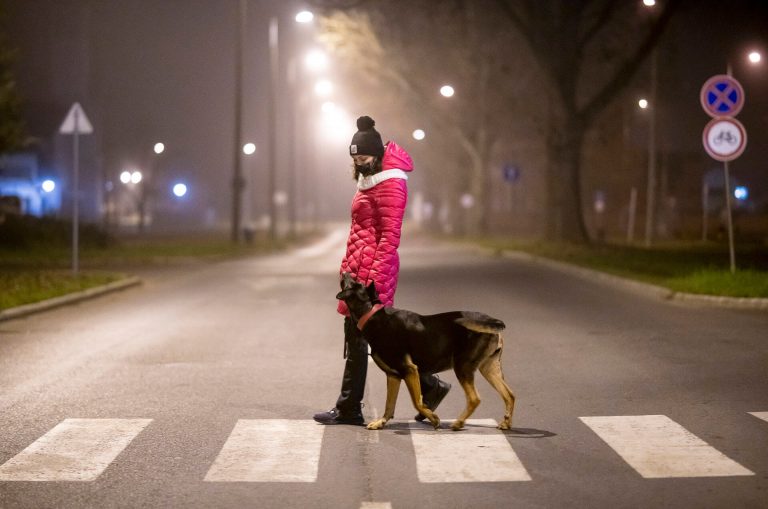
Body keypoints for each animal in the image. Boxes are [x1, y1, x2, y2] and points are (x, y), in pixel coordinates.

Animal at [336, 272, 516, 430]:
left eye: (355, 283)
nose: (346, 271)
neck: (371, 313)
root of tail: (492, 320)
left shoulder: (410, 370)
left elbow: (417, 401)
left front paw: (434, 418)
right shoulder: (394, 375)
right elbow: (389, 405)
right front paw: (381, 422)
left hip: (462, 366)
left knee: (474, 399)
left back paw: (458, 423)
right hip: (489, 368)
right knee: (510, 394)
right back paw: (506, 423)